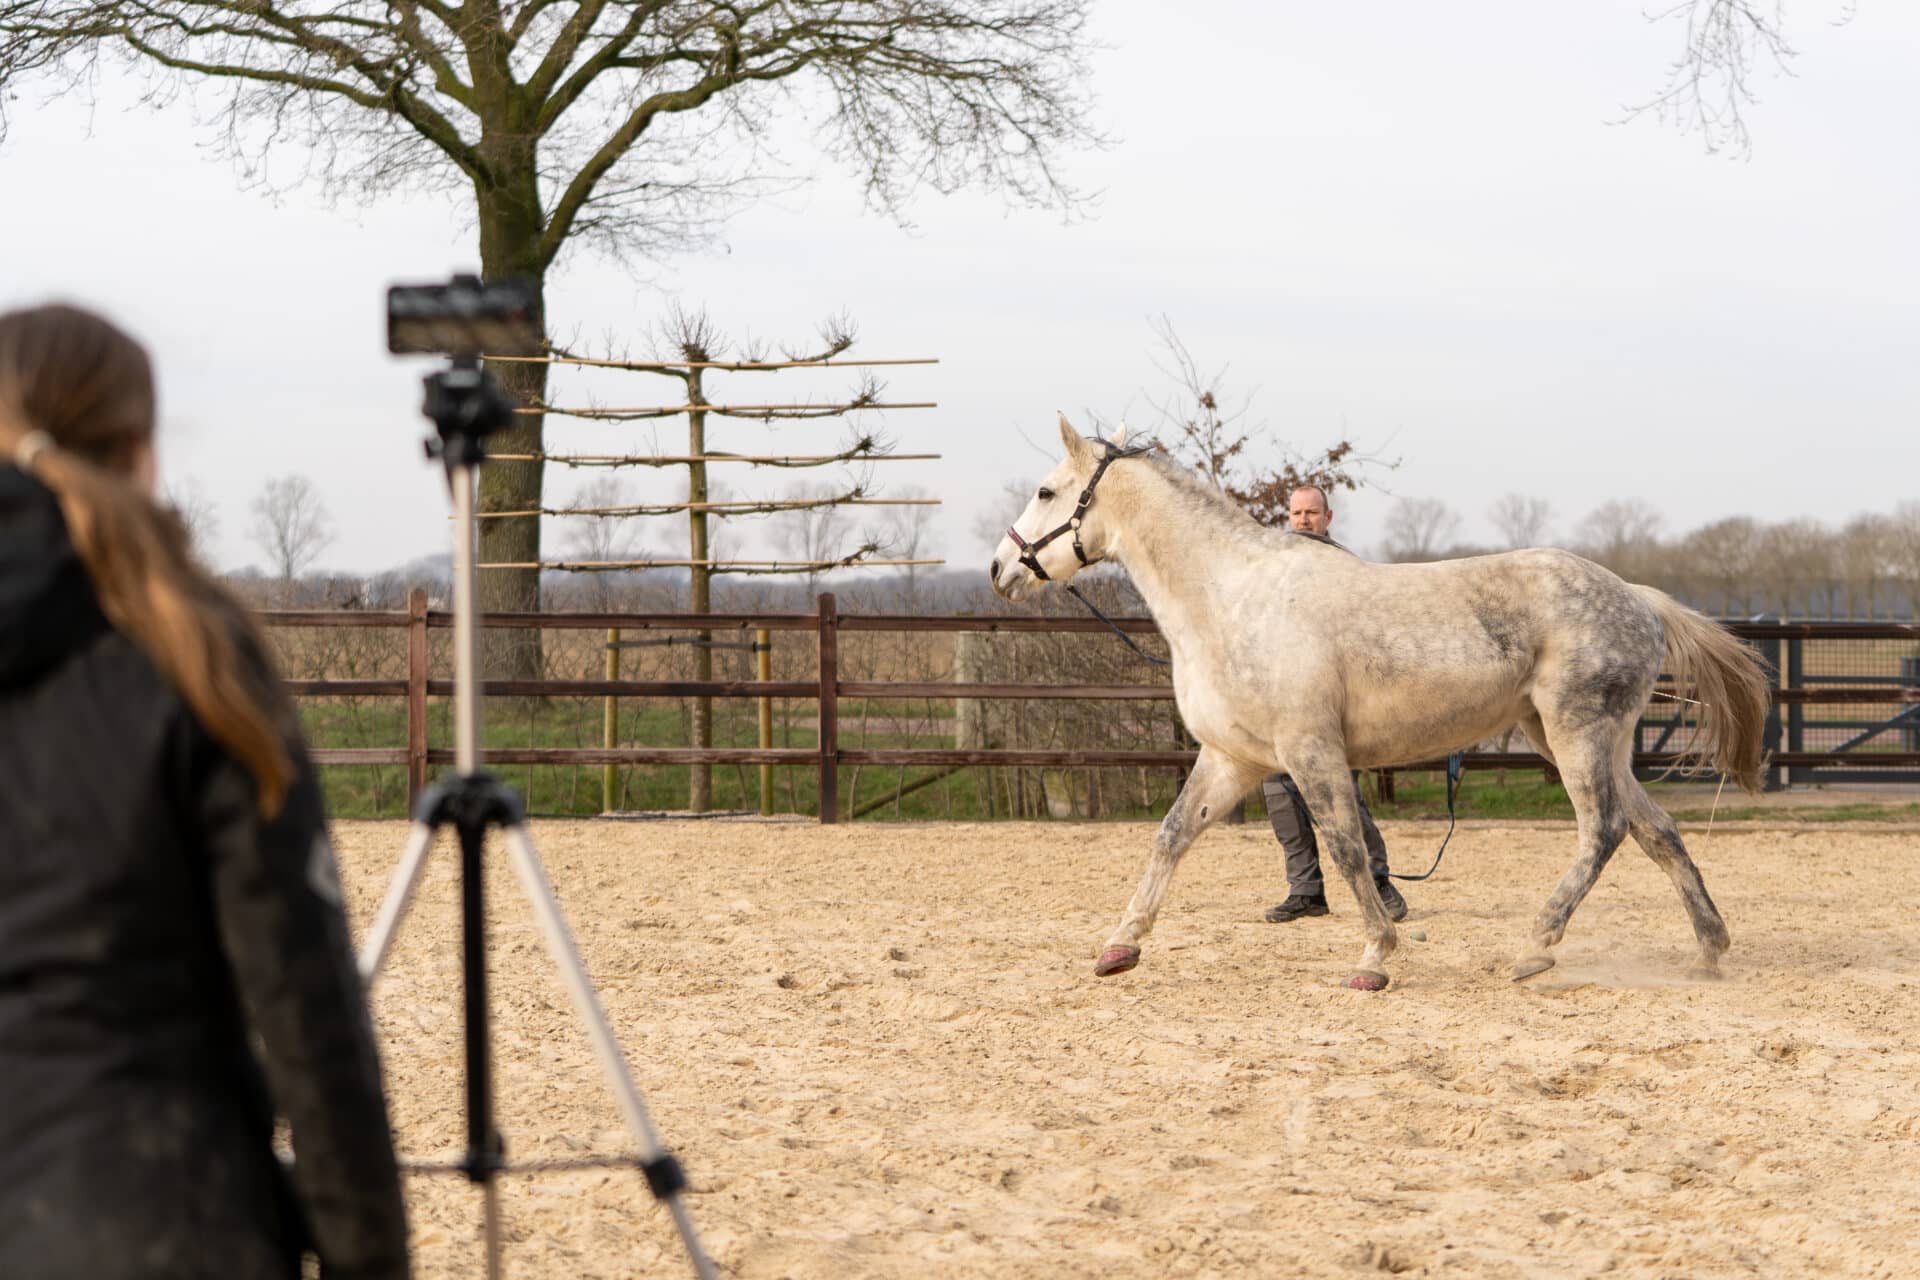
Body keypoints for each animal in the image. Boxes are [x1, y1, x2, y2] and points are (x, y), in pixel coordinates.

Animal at [989, 416, 1770, 991]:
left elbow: (1346, 848)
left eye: (1047, 492)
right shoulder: (1234, 759)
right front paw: (1119, 948)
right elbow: (1172, 836)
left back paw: (1535, 947)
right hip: (1580, 739)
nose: (1000, 568)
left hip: (1578, 733)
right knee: (1656, 831)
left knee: (1602, 831)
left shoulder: (1310, 751)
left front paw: (1375, 957)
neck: (1231, 598)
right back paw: (1710, 949)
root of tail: (1637, 598)